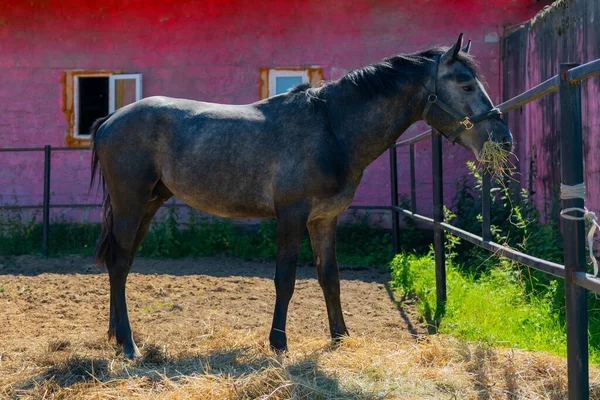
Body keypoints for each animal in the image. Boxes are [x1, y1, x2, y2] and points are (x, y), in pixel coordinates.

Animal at [90, 34, 510, 358]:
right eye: (466, 85)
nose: (503, 139)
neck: (331, 128)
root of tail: (110, 120)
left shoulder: (324, 218)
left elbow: (330, 276)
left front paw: (340, 336)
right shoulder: (292, 215)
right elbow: (286, 279)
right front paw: (278, 343)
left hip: (148, 204)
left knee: (119, 262)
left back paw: (116, 336)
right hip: (130, 204)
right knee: (121, 263)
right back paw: (128, 344)